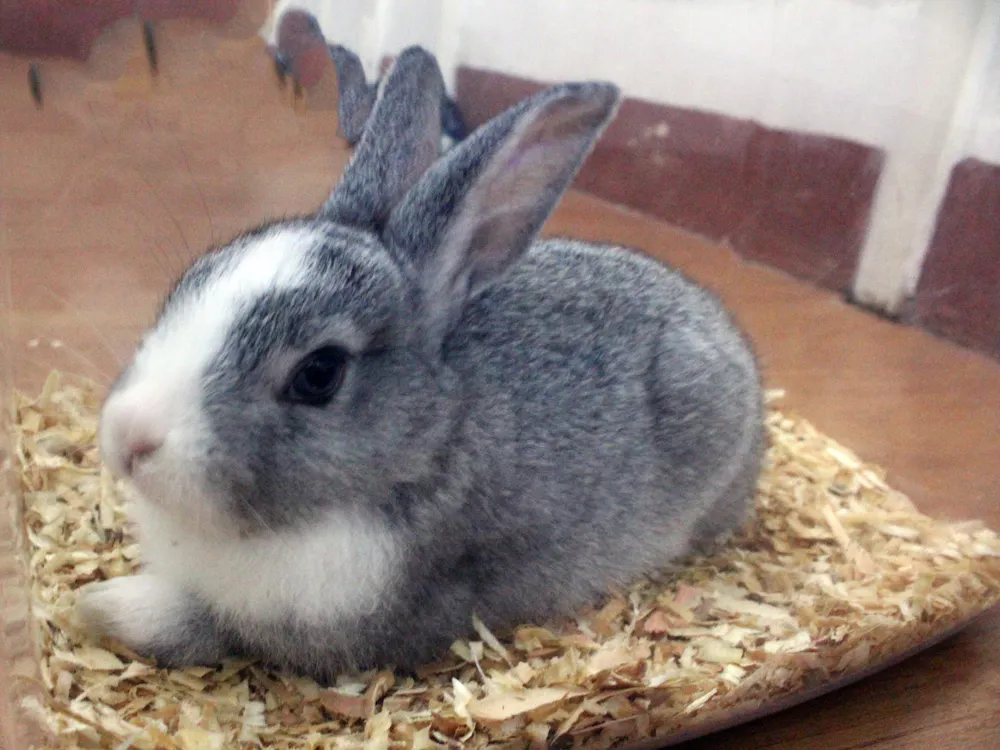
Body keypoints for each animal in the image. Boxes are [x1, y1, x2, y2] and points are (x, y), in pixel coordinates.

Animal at [76, 45, 765, 685]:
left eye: (319, 374)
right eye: (192, 279)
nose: (128, 438)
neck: (428, 442)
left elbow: (208, 626)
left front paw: (102, 604)